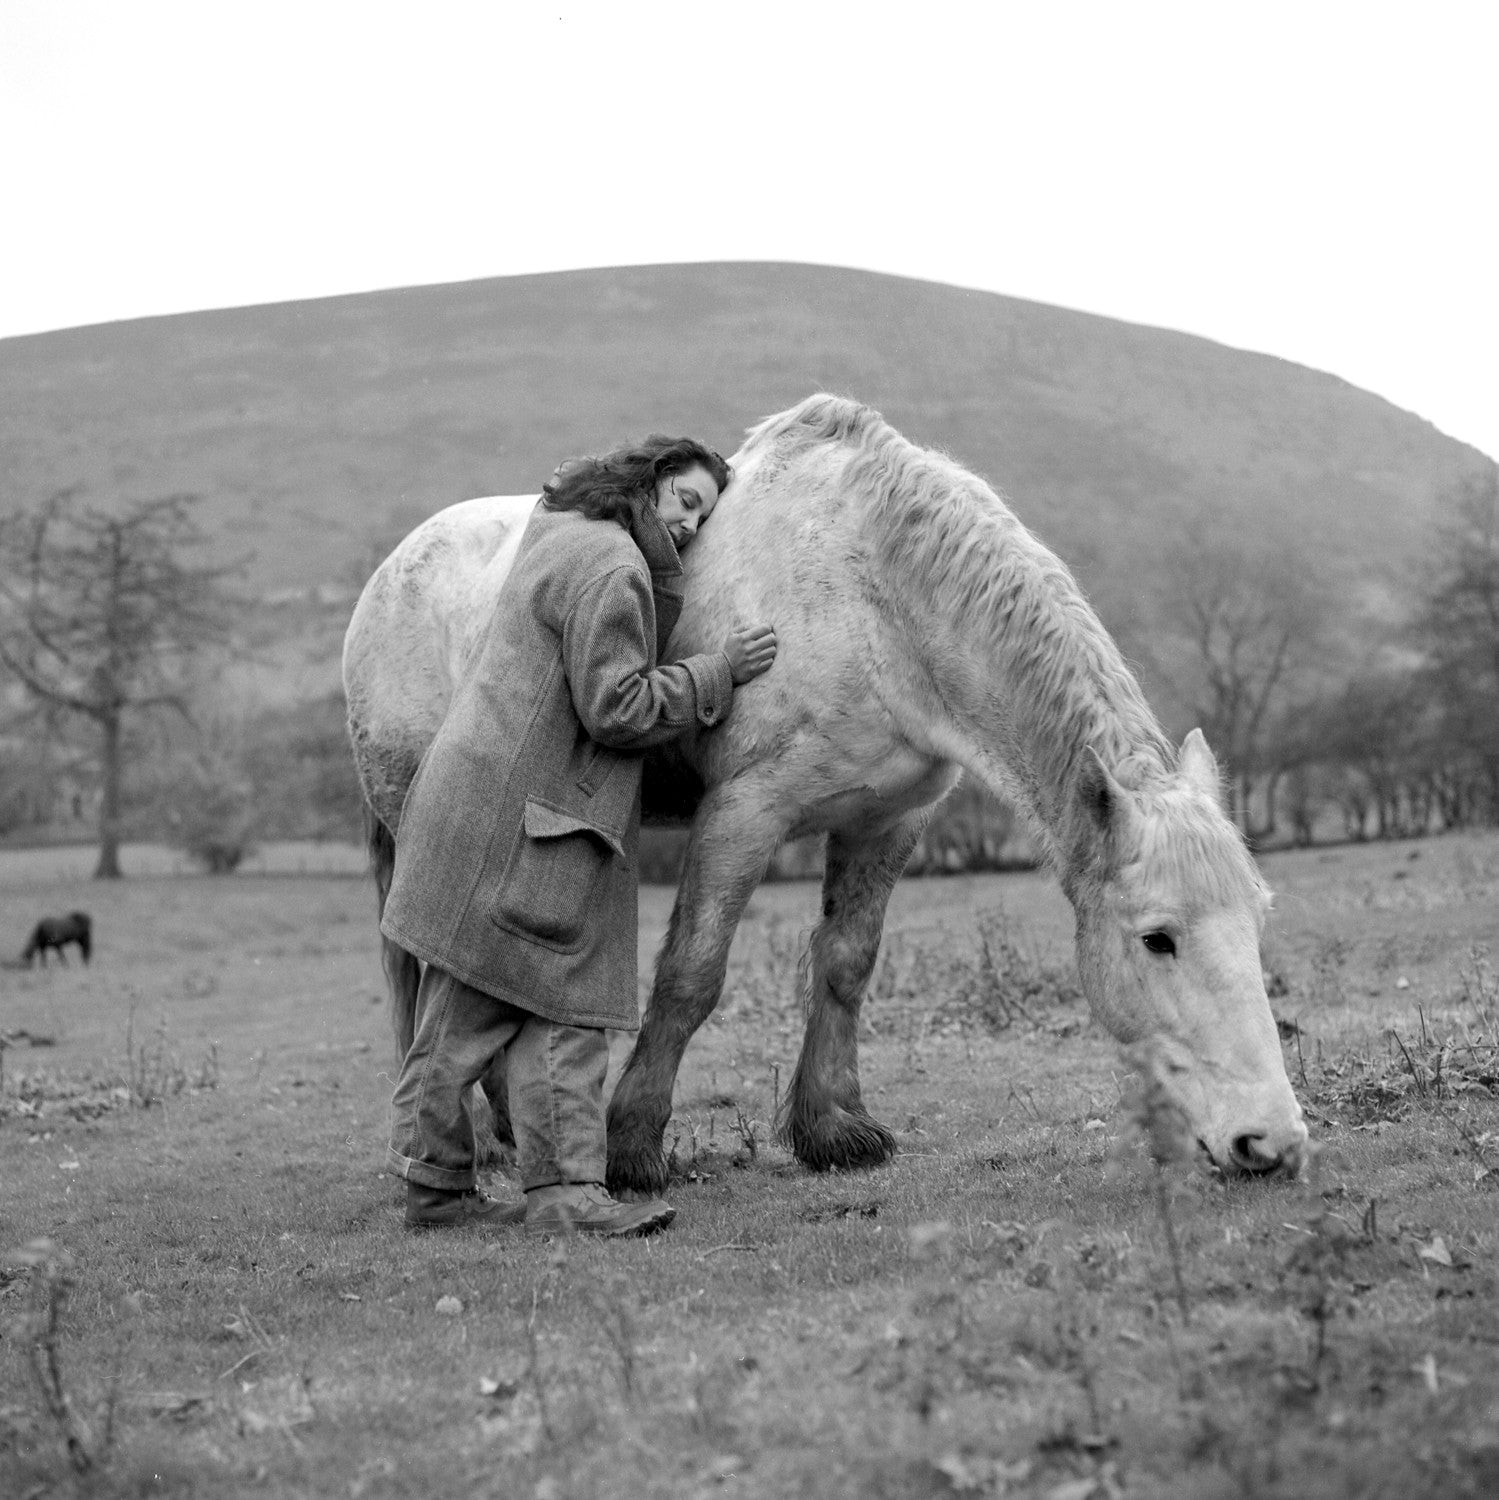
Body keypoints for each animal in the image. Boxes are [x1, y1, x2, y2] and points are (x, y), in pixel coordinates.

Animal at [343, 393, 1308, 1193]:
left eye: (1258, 919)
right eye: (1156, 939)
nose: (1271, 1142)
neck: (872, 590)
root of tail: (391, 571)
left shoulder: (888, 822)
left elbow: (845, 965)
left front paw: (833, 1129)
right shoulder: (744, 813)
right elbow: (691, 975)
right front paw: (633, 1149)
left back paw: (506, 1131)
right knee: (428, 972)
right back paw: (472, 1141)